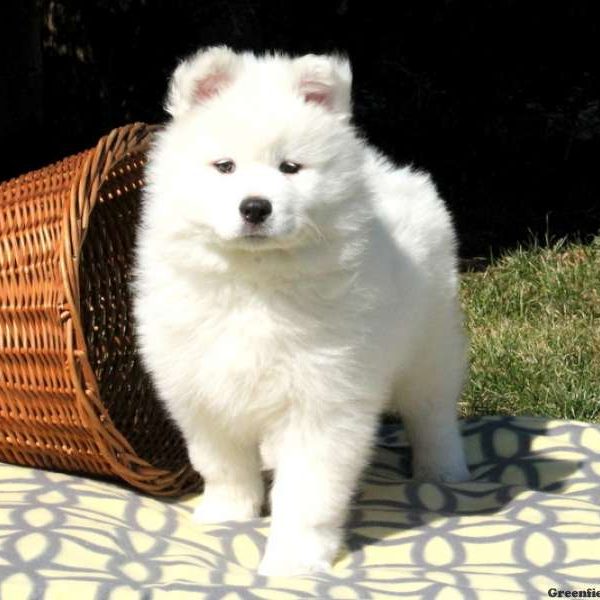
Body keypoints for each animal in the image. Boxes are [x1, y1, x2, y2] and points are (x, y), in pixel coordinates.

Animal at [134, 47, 472, 576]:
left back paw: (443, 469)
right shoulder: (200, 388)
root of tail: (390, 170)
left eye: (290, 168)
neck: (255, 280)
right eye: (225, 166)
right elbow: (222, 462)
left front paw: (293, 561)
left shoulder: (323, 402)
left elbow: (308, 492)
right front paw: (226, 514)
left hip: (430, 343)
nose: (255, 207)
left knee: (432, 411)